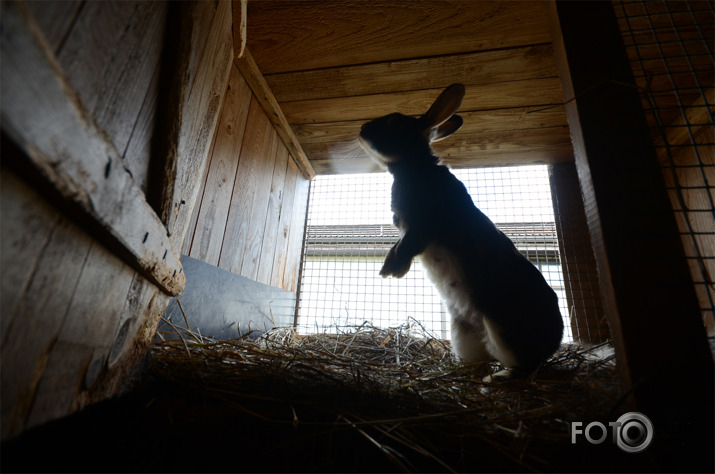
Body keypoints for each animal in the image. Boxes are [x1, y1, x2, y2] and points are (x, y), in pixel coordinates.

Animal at [358, 85, 564, 374]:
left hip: (504, 325)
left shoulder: (424, 224)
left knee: (524, 364)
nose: (362, 128)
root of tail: (553, 344)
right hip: (463, 331)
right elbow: (398, 246)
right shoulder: (407, 230)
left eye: (394, 122)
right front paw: (388, 267)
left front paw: (393, 272)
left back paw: (501, 377)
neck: (414, 166)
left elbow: (409, 245)